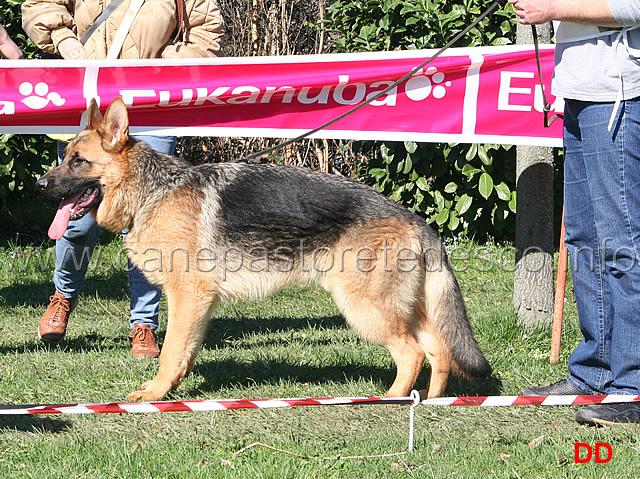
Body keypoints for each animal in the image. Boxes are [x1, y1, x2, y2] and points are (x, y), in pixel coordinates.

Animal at [36, 97, 490, 402]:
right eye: (65, 157)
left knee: (412, 353)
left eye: (78, 161)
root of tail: (416, 219)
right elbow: (184, 352)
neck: (152, 191)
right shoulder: (198, 305)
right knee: (439, 351)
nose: (40, 185)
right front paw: (171, 389)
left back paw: (392, 400)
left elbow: (170, 352)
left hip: (365, 309)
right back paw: (430, 402)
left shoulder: (187, 297)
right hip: (403, 309)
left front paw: (154, 395)